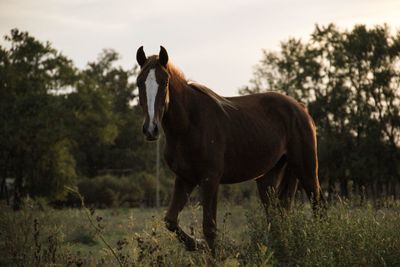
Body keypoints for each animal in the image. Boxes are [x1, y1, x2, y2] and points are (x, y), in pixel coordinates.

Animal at [134, 46, 324, 253]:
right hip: (268, 176)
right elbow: (170, 220)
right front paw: (196, 245)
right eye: (139, 82)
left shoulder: (210, 180)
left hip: (306, 169)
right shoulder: (185, 179)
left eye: (165, 82)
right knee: (274, 215)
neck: (190, 124)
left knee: (318, 205)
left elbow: (209, 228)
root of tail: (301, 108)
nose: (151, 129)